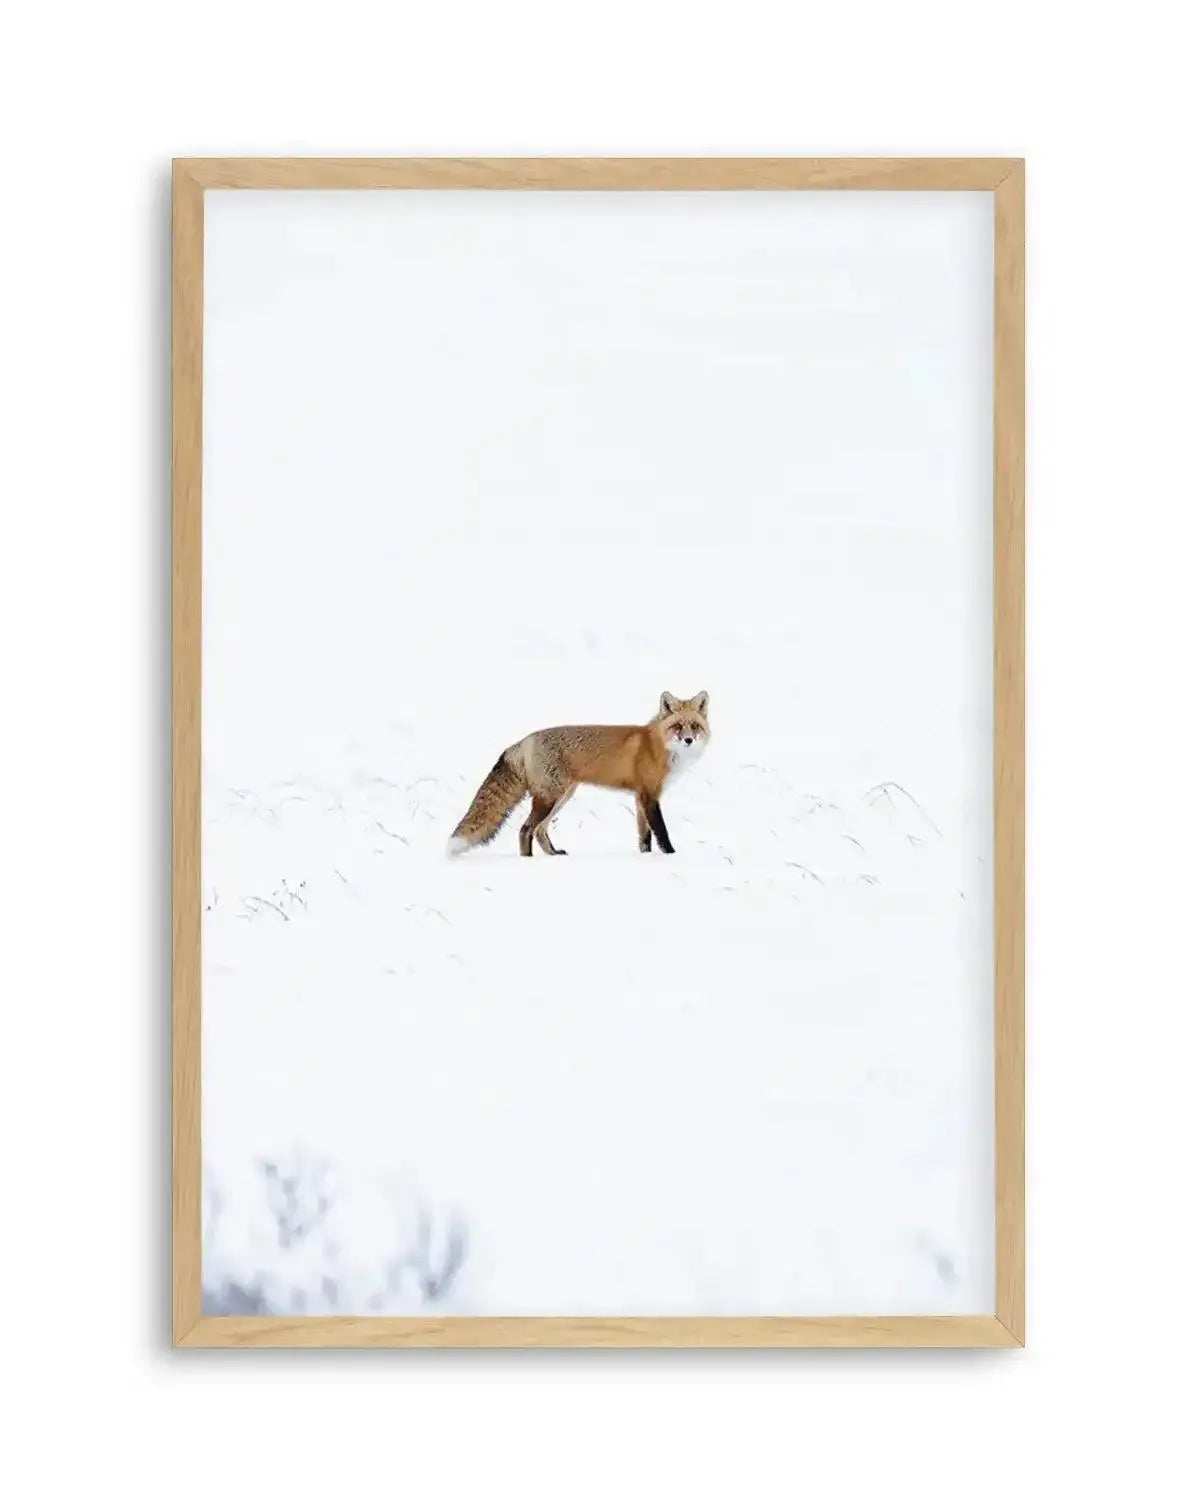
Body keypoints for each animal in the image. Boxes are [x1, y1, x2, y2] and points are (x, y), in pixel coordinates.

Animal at [447, 690, 710, 857]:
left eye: (695, 726)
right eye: (677, 726)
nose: (688, 740)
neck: (658, 745)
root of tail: (525, 740)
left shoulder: (640, 798)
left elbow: (644, 837)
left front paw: (646, 857)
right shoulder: (649, 795)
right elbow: (661, 832)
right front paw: (671, 855)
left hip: (561, 797)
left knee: (539, 830)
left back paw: (554, 854)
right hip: (550, 798)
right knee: (526, 829)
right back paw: (528, 861)